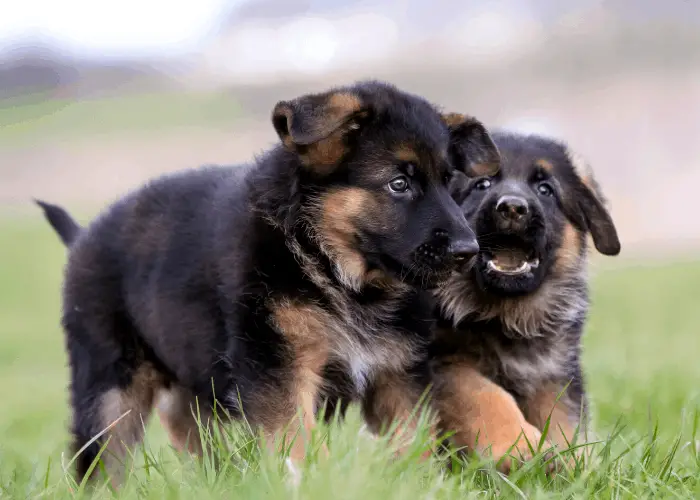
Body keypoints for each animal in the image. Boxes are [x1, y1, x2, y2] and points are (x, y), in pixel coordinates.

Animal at [37, 81, 504, 484]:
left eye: (449, 183)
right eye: (399, 183)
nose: (468, 250)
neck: (331, 266)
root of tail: (82, 236)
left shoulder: (399, 373)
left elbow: (413, 444)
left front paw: (419, 484)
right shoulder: (278, 367)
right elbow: (294, 439)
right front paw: (306, 483)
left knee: (189, 428)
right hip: (110, 383)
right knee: (103, 459)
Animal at [432, 130, 624, 472]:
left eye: (545, 190)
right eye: (482, 184)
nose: (512, 208)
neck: (504, 316)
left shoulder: (551, 372)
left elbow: (562, 417)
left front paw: (576, 462)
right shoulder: (443, 362)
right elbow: (484, 395)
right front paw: (522, 449)